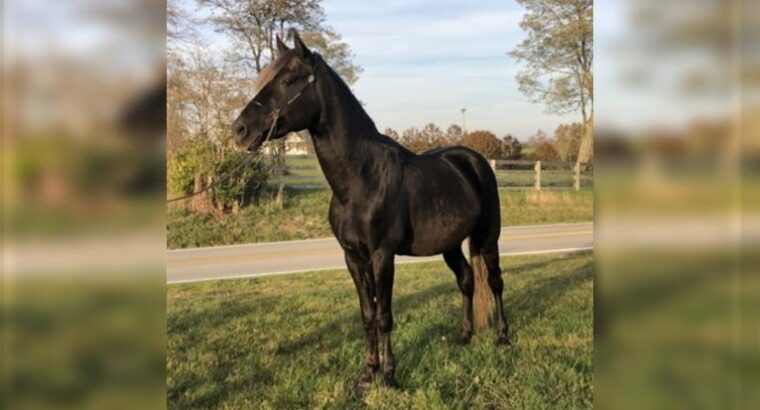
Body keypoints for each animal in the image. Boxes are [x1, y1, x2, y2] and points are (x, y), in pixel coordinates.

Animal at [229, 30, 508, 390]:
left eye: (288, 80)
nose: (239, 130)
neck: (361, 180)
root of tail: (472, 159)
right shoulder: (353, 258)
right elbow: (367, 315)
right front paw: (367, 374)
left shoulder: (382, 256)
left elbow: (384, 315)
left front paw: (388, 375)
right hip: (449, 244)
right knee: (467, 280)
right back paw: (465, 336)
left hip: (488, 237)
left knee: (496, 282)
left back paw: (503, 336)